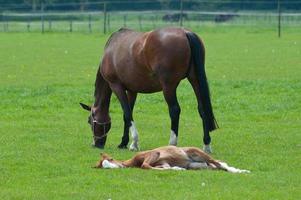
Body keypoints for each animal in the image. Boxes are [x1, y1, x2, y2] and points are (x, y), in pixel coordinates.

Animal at [79, 27, 217, 153]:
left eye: (89, 121)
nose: (96, 144)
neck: (111, 50)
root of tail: (185, 32)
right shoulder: (132, 90)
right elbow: (127, 115)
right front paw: (123, 142)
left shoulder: (116, 86)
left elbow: (127, 113)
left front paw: (134, 143)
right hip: (195, 80)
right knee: (202, 109)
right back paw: (206, 145)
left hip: (168, 86)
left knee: (174, 110)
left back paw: (172, 144)